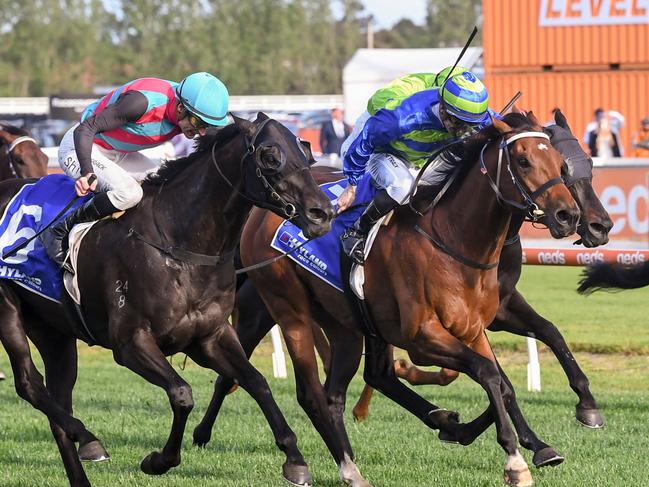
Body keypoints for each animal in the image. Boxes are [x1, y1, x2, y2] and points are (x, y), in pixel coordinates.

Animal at [0, 112, 334, 486]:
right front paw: (159, 460)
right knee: (29, 384)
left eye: (306, 153)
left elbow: (256, 382)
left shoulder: (209, 337)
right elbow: (182, 394)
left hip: (54, 332)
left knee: (57, 400)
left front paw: (294, 458)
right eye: (271, 156)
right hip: (8, 310)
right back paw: (88, 436)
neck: (179, 243)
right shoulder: (131, 343)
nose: (323, 213)